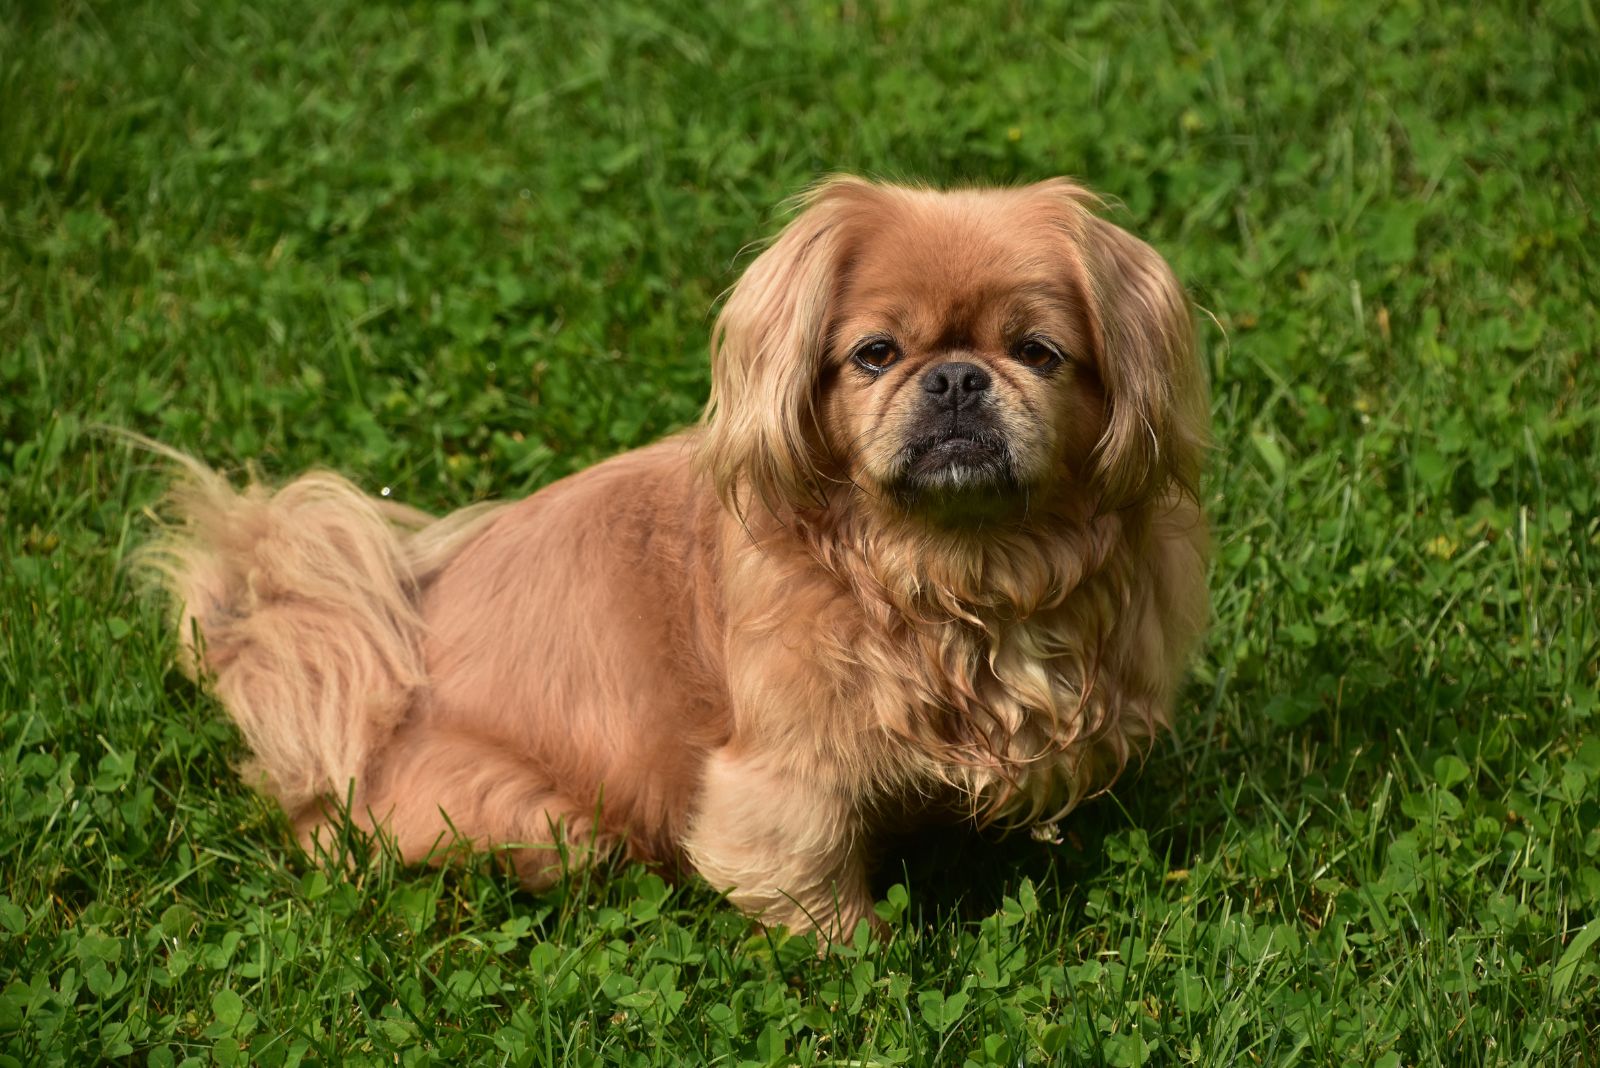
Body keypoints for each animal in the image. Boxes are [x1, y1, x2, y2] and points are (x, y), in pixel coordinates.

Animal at [144, 179, 1203, 940]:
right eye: (873, 354)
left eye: (1038, 352)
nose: (953, 378)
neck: (950, 571)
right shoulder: (783, 776)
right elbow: (808, 880)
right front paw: (865, 961)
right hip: (545, 825)